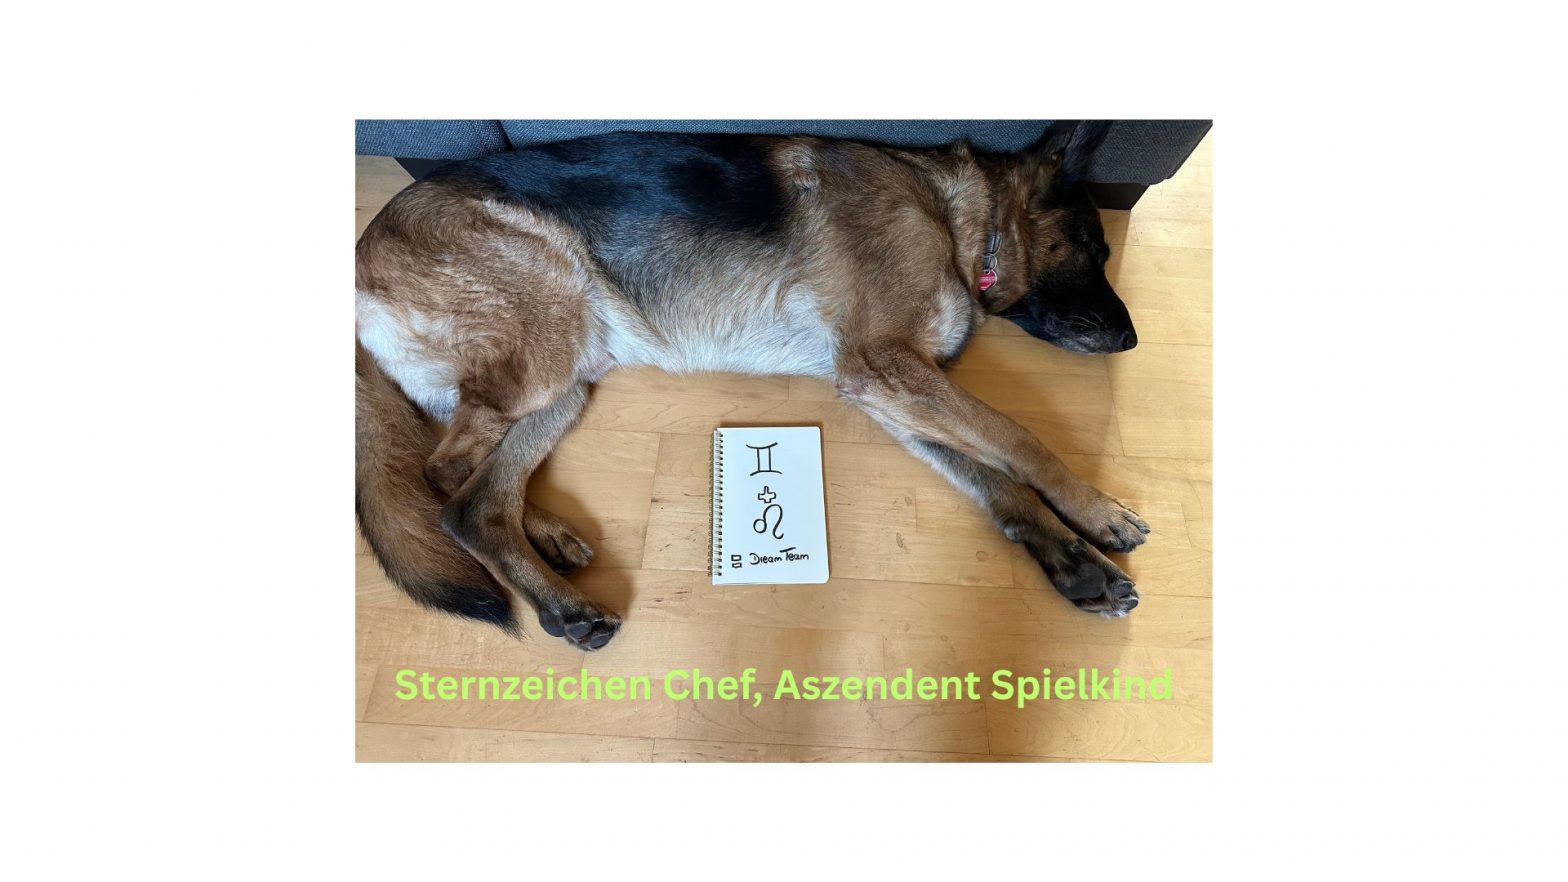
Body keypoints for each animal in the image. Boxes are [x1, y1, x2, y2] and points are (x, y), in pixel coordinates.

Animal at [356, 120, 1150, 650]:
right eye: (1095, 247)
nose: (1133, 343)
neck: (953, 212)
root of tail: (360, 252)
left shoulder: (891, 394)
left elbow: (1000, 482)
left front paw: (1073, 560)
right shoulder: (887, 367)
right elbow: (1017, 437)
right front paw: (1099, 511)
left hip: (569, 375)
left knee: (479, 499)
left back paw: (552, 565)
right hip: (547, 343)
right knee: (446, 481)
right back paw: (553, 588)